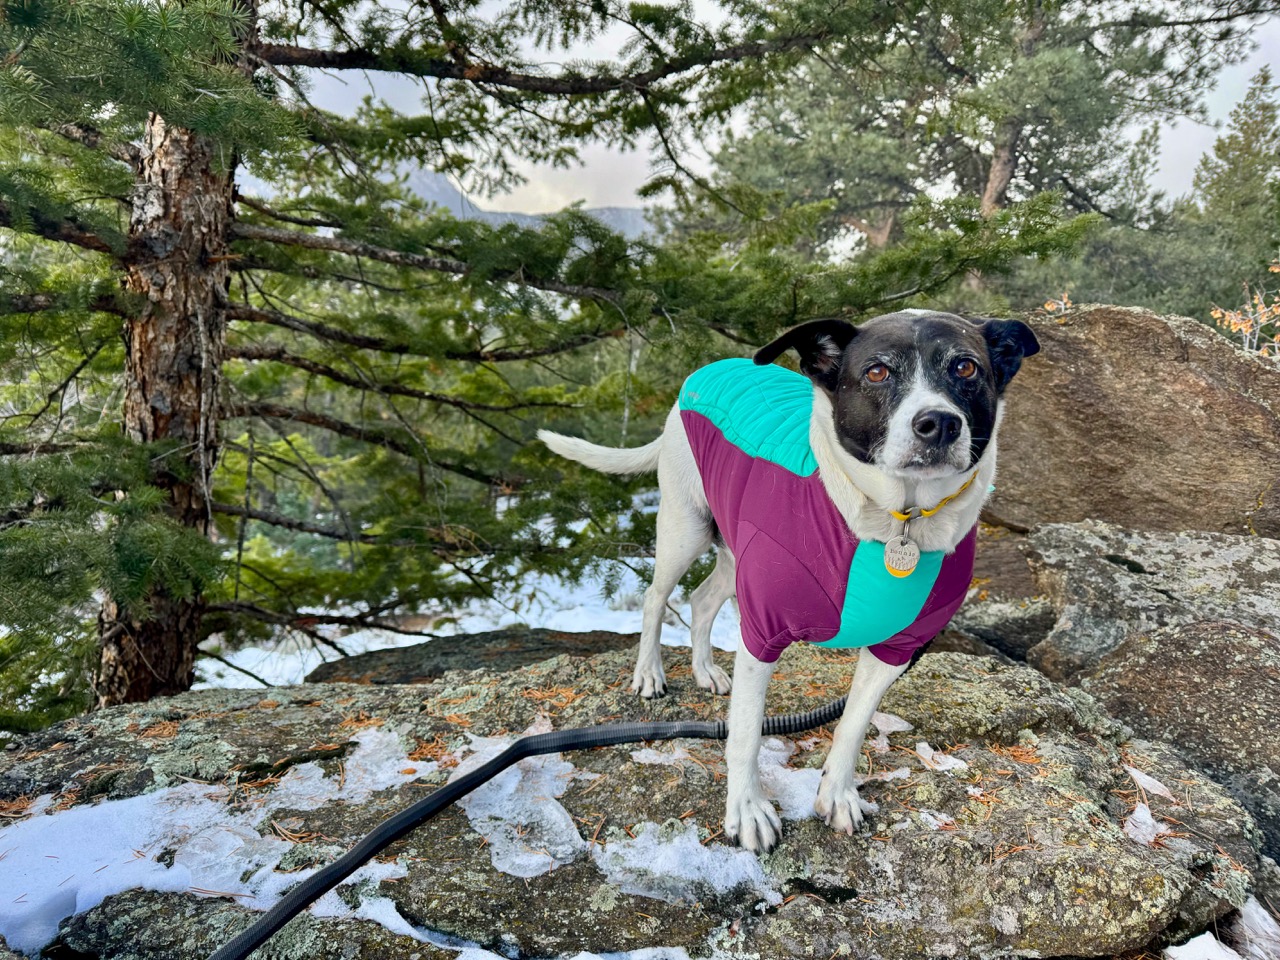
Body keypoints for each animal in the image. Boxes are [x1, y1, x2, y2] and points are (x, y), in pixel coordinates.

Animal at [535, 312, 1034, 855]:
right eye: (877, 372)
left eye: (965, 367)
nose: (939, 423)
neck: (897, 521)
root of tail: (708, 370)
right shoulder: (762, 631)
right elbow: (745, 734)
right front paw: (748, 810)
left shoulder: (897, 649)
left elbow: (852, 726)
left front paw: (837, 794)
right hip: (684, 528)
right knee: (654, 597)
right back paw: (649, 672)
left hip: (735, 549)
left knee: (702, 600)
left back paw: (705, 670)